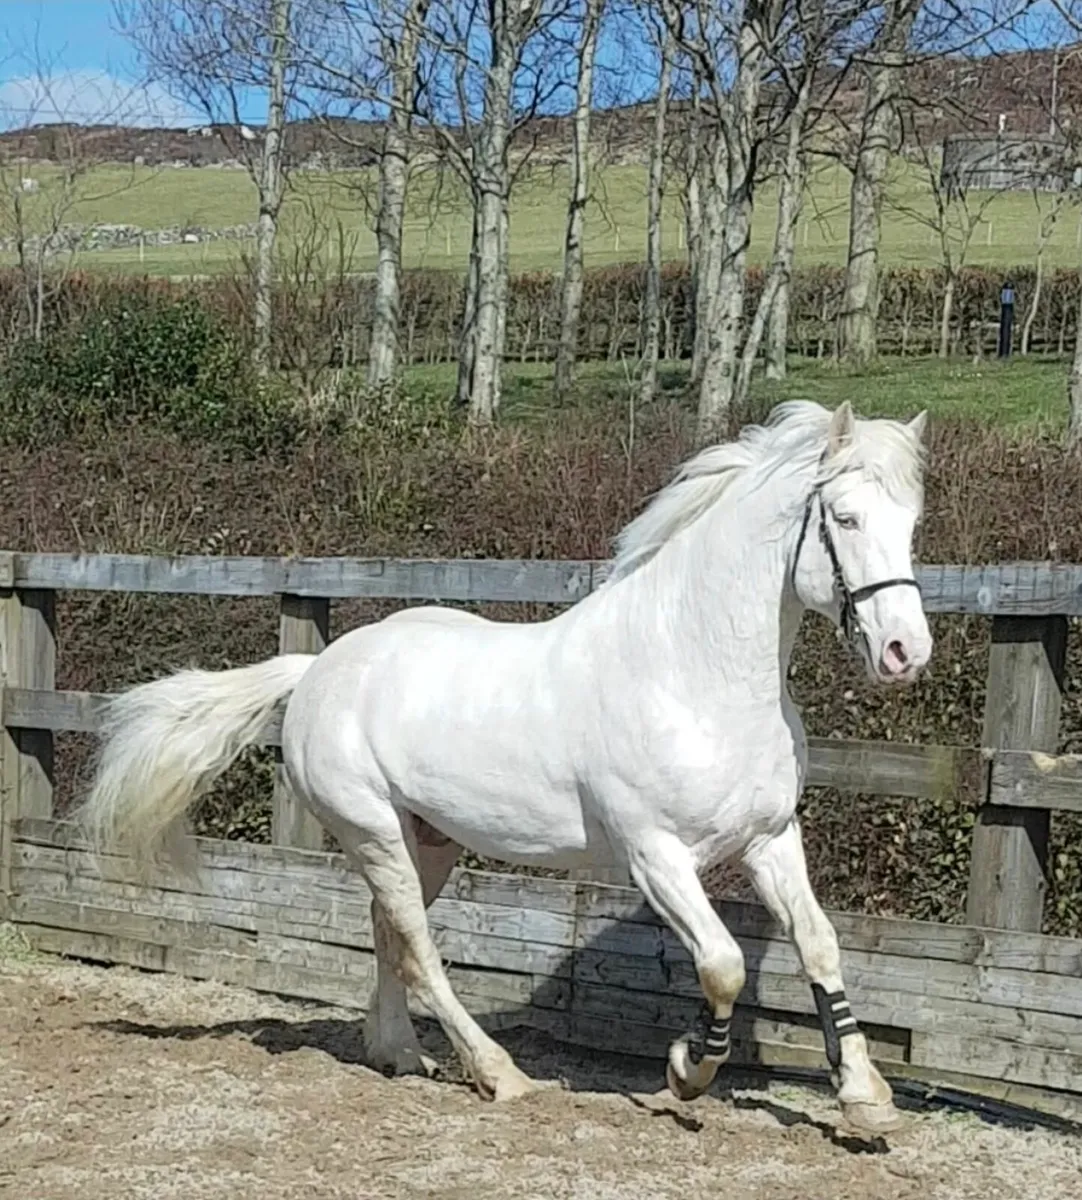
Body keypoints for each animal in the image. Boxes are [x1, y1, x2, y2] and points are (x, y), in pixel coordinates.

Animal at [78, 398, 931, 1133]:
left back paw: (398, 1054)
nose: (905, 653)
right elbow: (722, 965)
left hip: (426, 841)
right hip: (374, 831)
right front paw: (686, 1070)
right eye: (845, 518)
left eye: (912, 522)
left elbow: (819, 943)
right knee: (419, 948)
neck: (692, 672)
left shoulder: (768, 838)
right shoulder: (655, 856)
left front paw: (866, 1100)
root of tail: (318, 669)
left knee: (389, 934)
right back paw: (499, 1074)